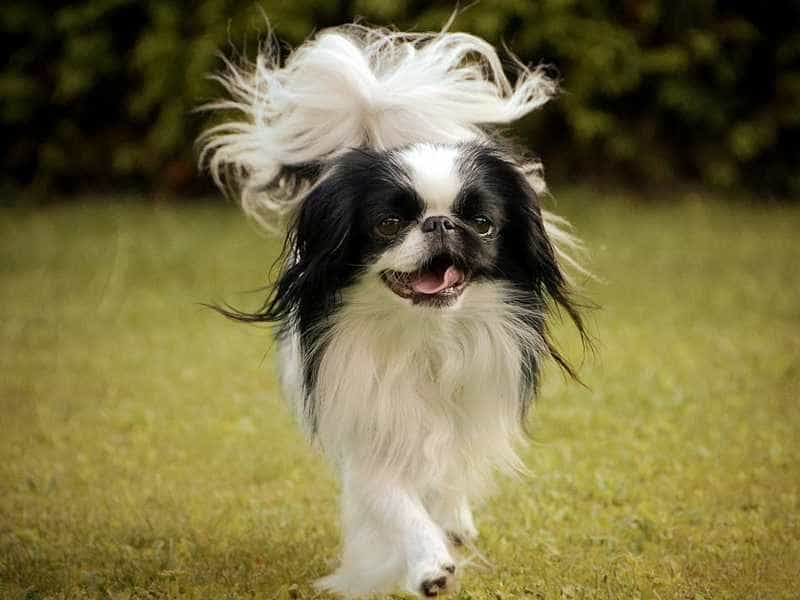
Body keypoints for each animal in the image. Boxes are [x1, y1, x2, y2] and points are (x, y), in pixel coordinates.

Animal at [200, 21, 587, 598]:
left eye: (482, 224)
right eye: (387, 224)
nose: (440, 223)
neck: (426, 334)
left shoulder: (465, 412)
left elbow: (445, 477)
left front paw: (448, 529)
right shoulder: (364, 418)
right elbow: (392, 499)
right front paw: (428, 565)